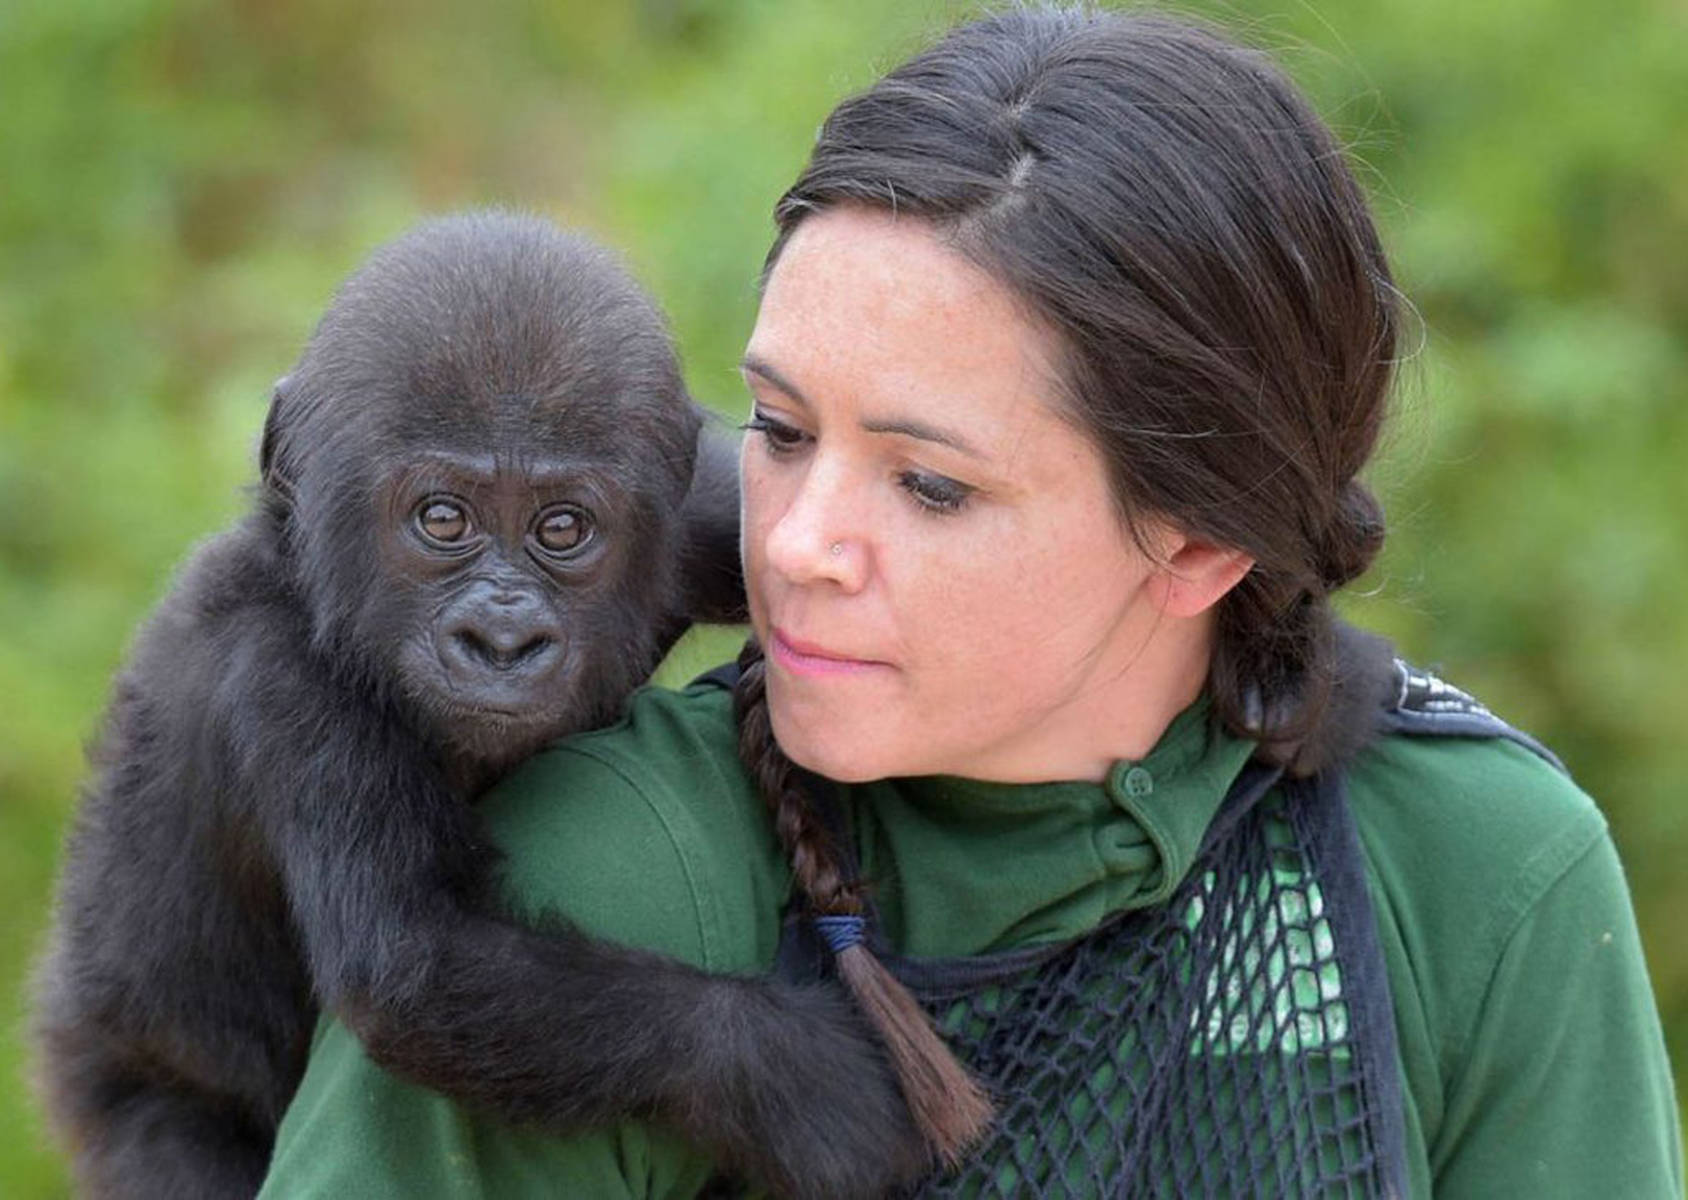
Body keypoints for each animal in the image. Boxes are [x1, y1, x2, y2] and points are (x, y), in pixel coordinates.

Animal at [29, 216, 925, 1200]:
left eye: (562, 528)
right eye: (443, 519)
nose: (501, 639)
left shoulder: (705, 522)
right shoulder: (282, 683)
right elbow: (416, 961)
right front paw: (797, 1079)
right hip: (132, 1104)